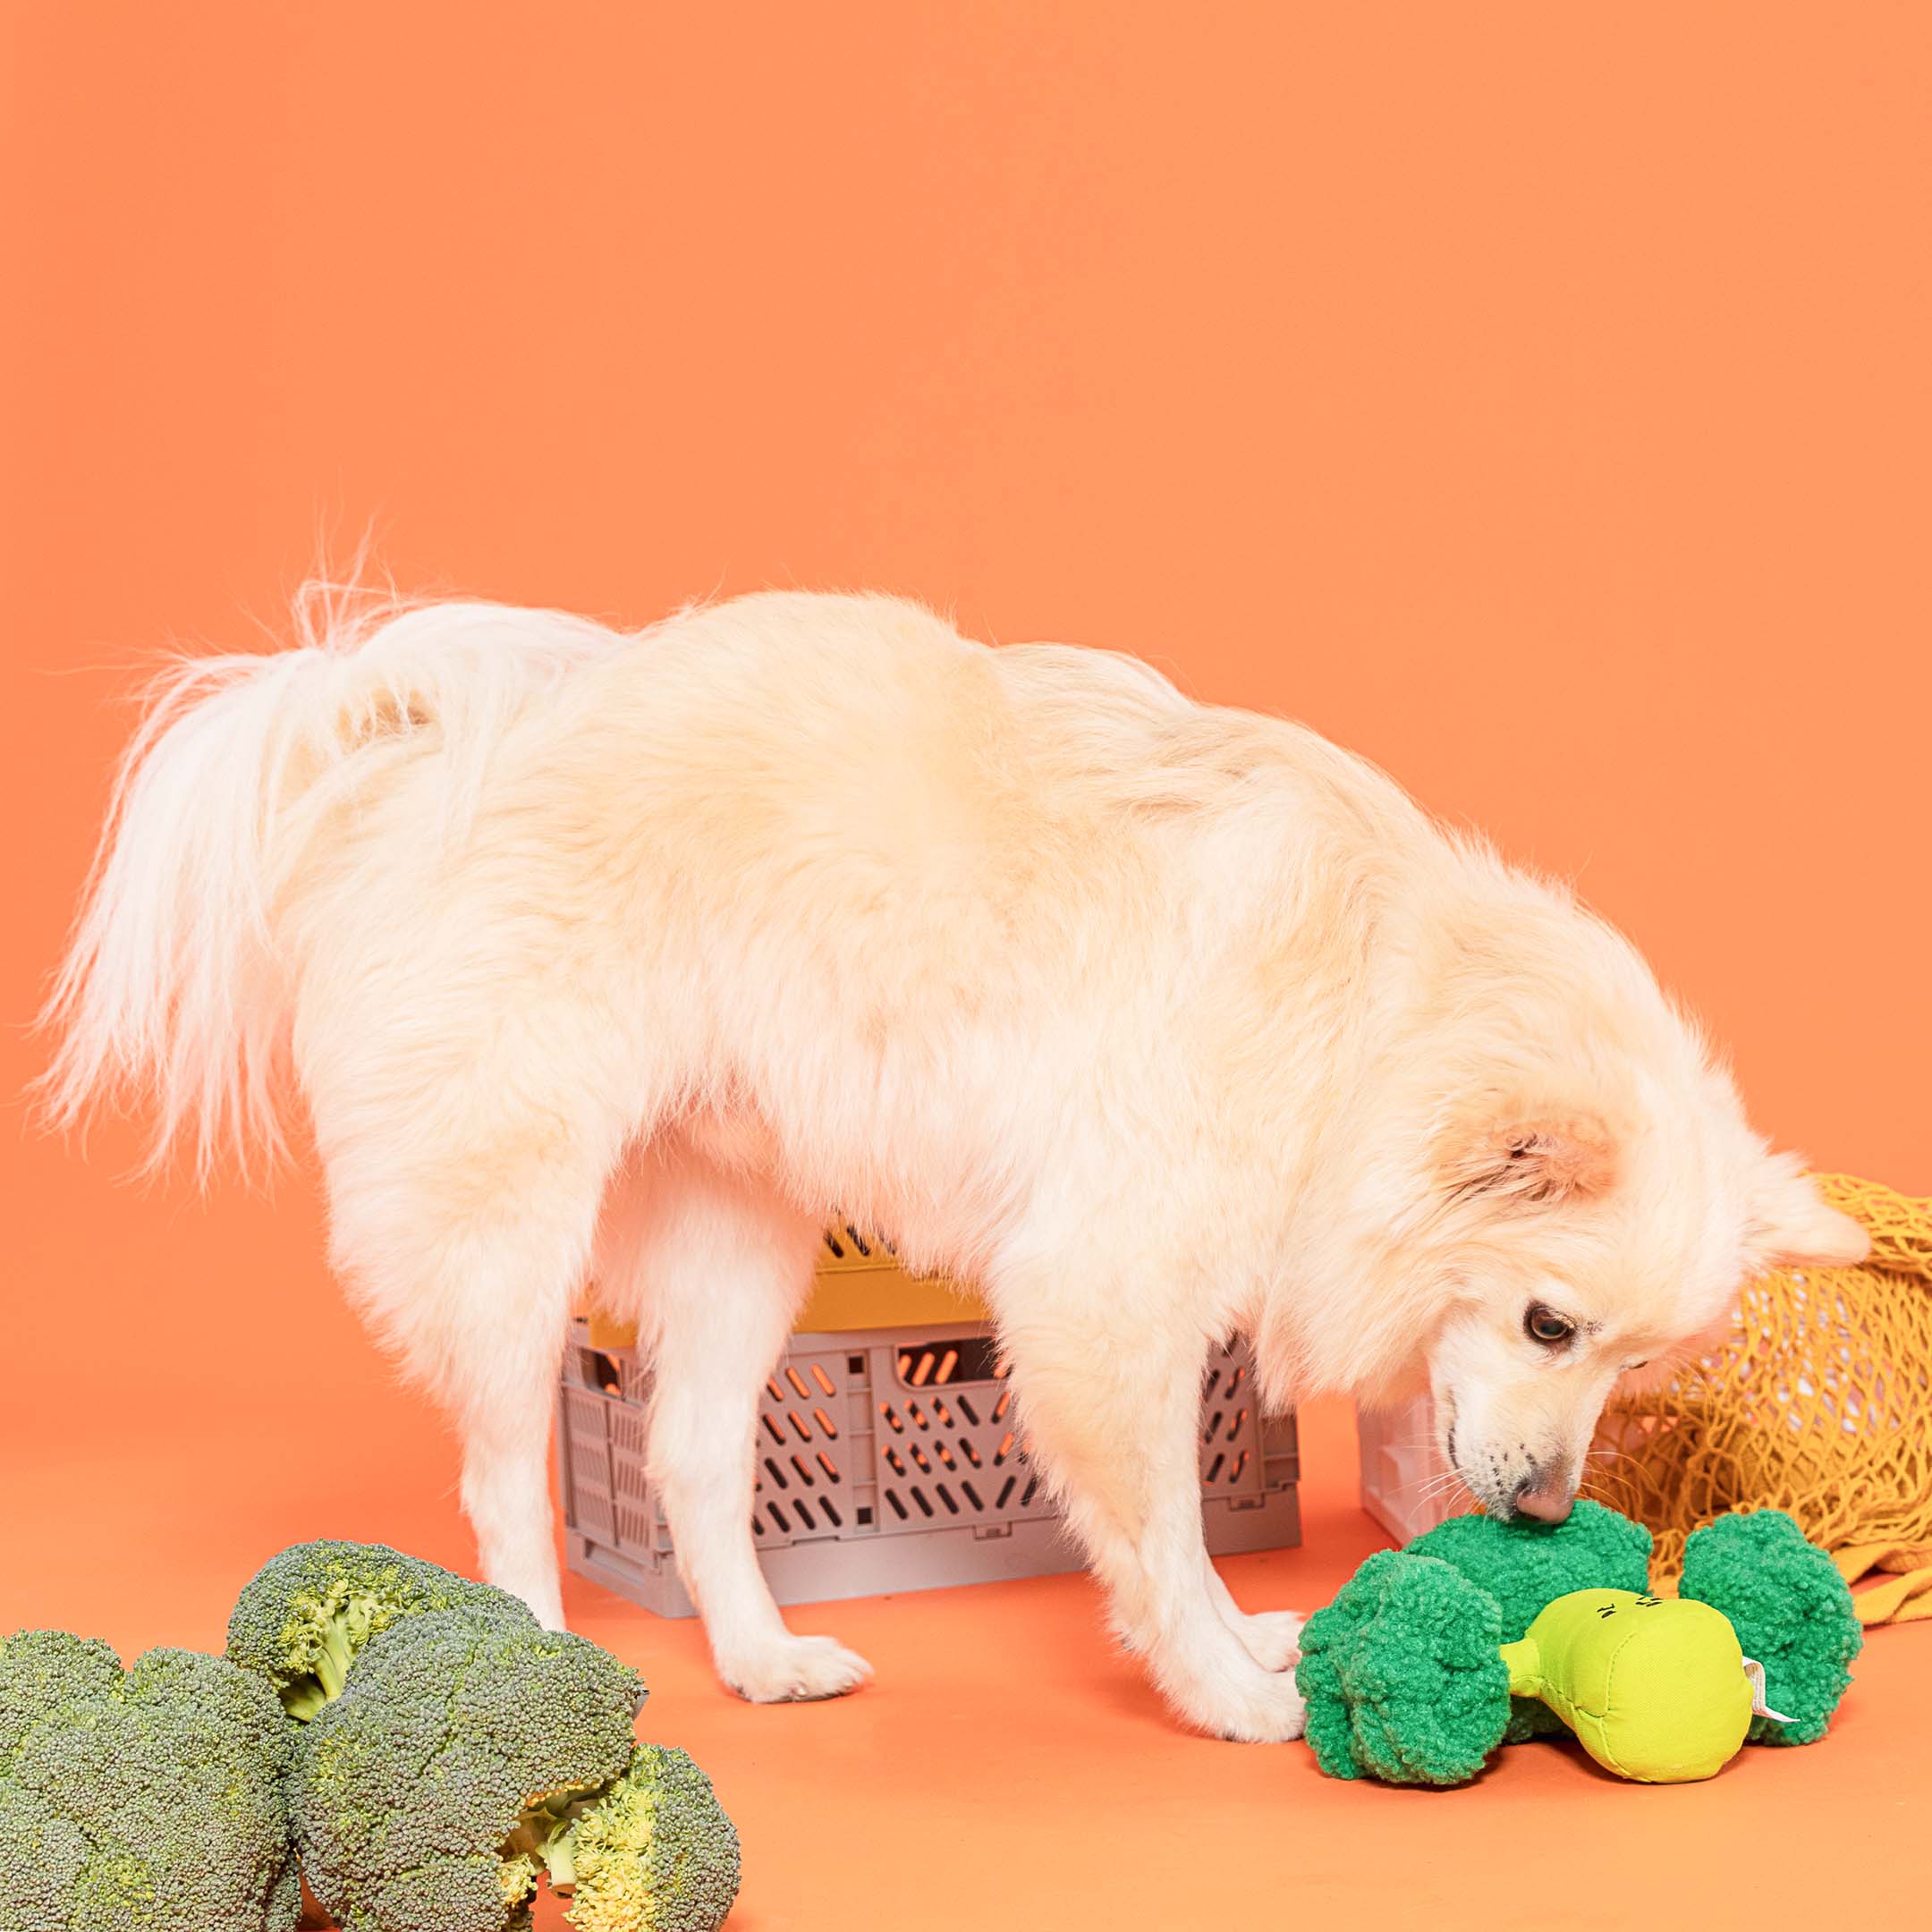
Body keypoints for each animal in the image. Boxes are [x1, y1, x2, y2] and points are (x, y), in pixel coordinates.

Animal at [38, 583, 1862, 1739]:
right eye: (1553, 1327)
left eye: (1633, 1370)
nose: (1551, 1518)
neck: (1368, 1010)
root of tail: (405, 751)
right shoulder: (1104, 1306)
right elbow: (1163, 1539)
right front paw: (1229, 1695)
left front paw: (1246, 1652)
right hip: (512, 1235)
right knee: (500, 1491)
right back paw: (541, 1676)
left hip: (741, 1244)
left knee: (693, 1464)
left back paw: (762, 1666)